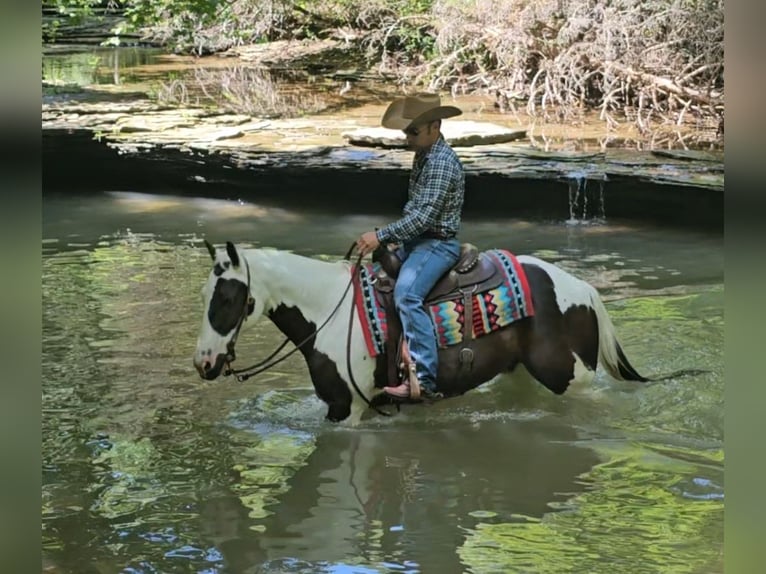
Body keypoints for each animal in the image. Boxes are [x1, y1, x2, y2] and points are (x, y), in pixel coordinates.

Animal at [193, 240, 650, 424]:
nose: (204, 363)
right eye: (205, 294)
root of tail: (584, 289)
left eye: (228, 298)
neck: (327, 310)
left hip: (573, 378)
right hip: (519, 374)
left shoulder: (347, 408)